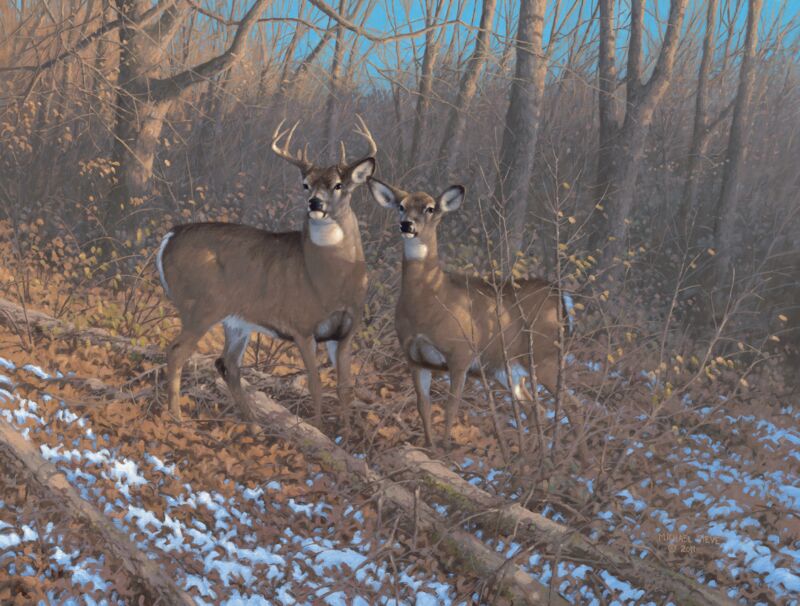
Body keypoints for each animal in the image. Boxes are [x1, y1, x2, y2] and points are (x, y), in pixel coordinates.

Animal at [156, 116, 377, 429]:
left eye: (338, 185)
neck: (333, 282)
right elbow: (315, 384)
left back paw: (253, 423)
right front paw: (318, 429)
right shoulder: (301, 325)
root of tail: (170, 237)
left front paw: (344, 434)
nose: (315, 203)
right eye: (305, 184)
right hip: (201, 305)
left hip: (236, 320)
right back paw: (176, 416)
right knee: (178, 351)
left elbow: (344, 387)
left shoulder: (344, 332)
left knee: (227, 363)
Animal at [367, 177, 584, 449]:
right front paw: (429, 446)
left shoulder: (460, 353)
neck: (430, 301)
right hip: (507, 369)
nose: (407, 224)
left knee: (572, 406)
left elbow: (451, 407)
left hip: (545, 356)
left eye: (430, 208)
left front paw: (445, 449)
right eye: (401, 206)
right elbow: (423, 406)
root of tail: (561, 297)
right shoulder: (414, 358)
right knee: (536, 409)